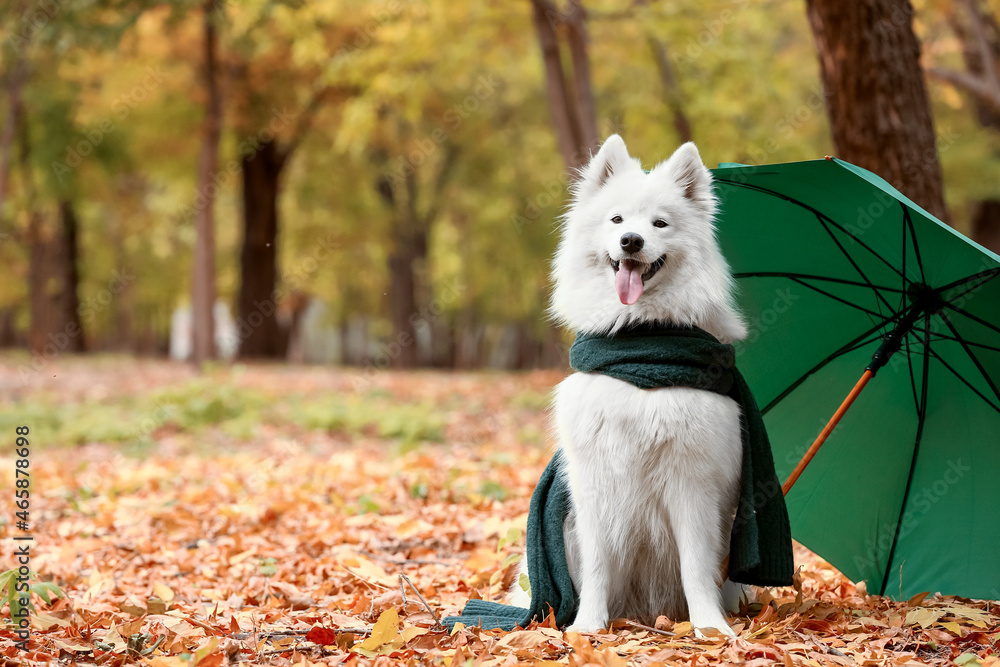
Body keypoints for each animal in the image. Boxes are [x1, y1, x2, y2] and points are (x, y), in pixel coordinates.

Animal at [516, 134, 752, 636]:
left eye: (660, 223)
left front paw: (710, 629)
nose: (631, 241)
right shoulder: (594, 486)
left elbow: (695, 566)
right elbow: (597, 569)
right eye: (617, 220)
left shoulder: (691, 484)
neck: (639, 339)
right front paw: (587, 627)